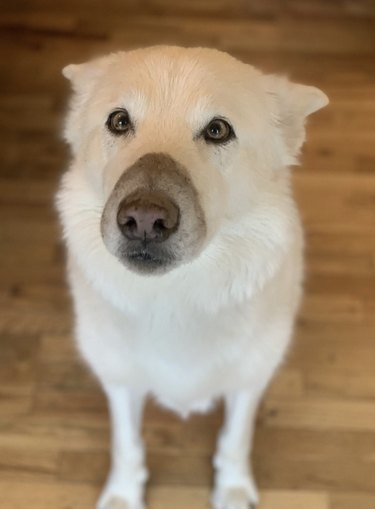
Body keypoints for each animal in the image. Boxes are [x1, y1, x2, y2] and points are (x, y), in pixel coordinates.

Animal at [55, 44, 328, 508]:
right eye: (119, 121)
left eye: (217, 130)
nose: (145, 221)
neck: (174, 297)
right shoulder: (119, 378)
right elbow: (126, 445)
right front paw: (123, 495)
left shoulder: (249, 378)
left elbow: (235, 440)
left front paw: (232, 490)